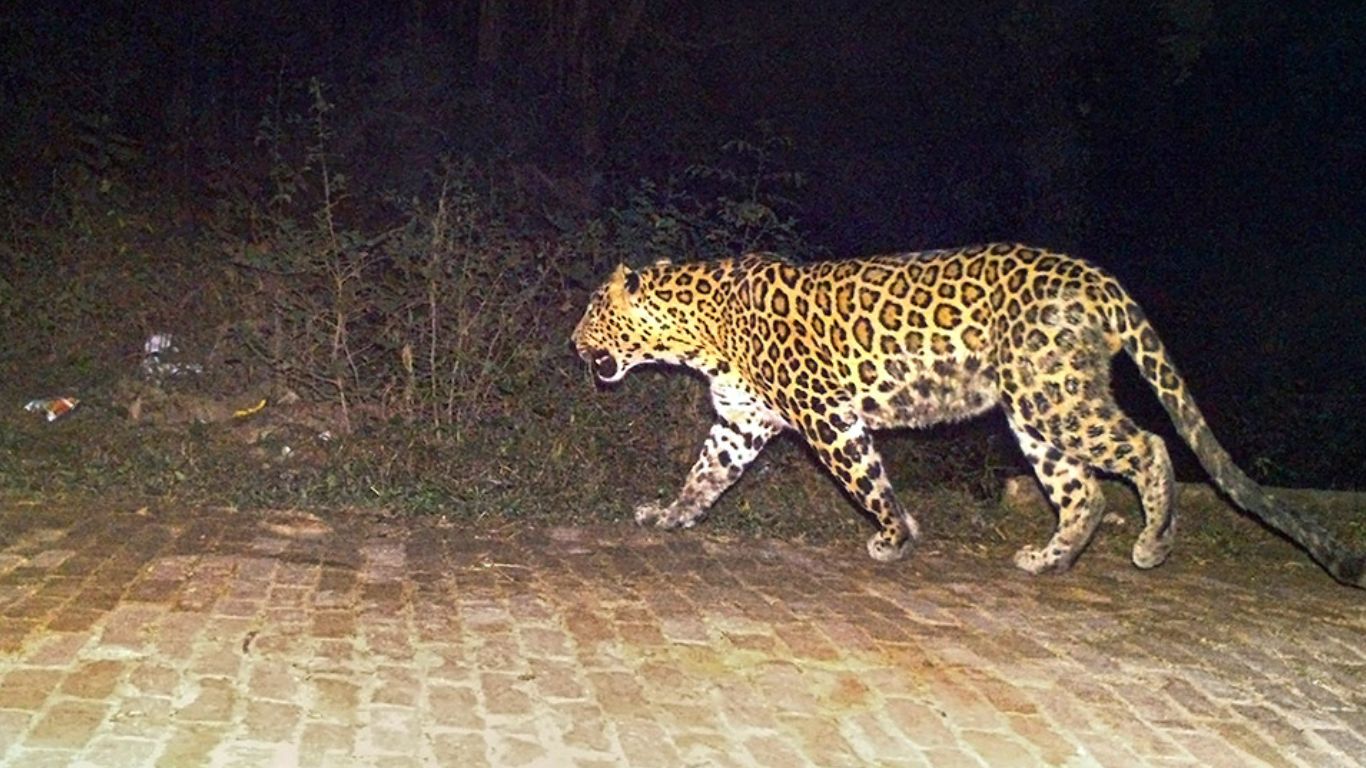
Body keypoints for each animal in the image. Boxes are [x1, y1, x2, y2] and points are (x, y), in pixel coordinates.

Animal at [572, 243, 1365, 588]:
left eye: (593, 313)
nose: (573, 343)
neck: (697, 332)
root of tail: (1098, 278)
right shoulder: (741, 424)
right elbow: (703, 475)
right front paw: (669, 516)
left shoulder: (827, 415)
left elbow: (866, 479)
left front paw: (896, 538)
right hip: (1034, 413)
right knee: (1085, 491)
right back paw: (1050, 559)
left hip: (1053, 397)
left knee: (1147, 447)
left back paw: (1153, 543)